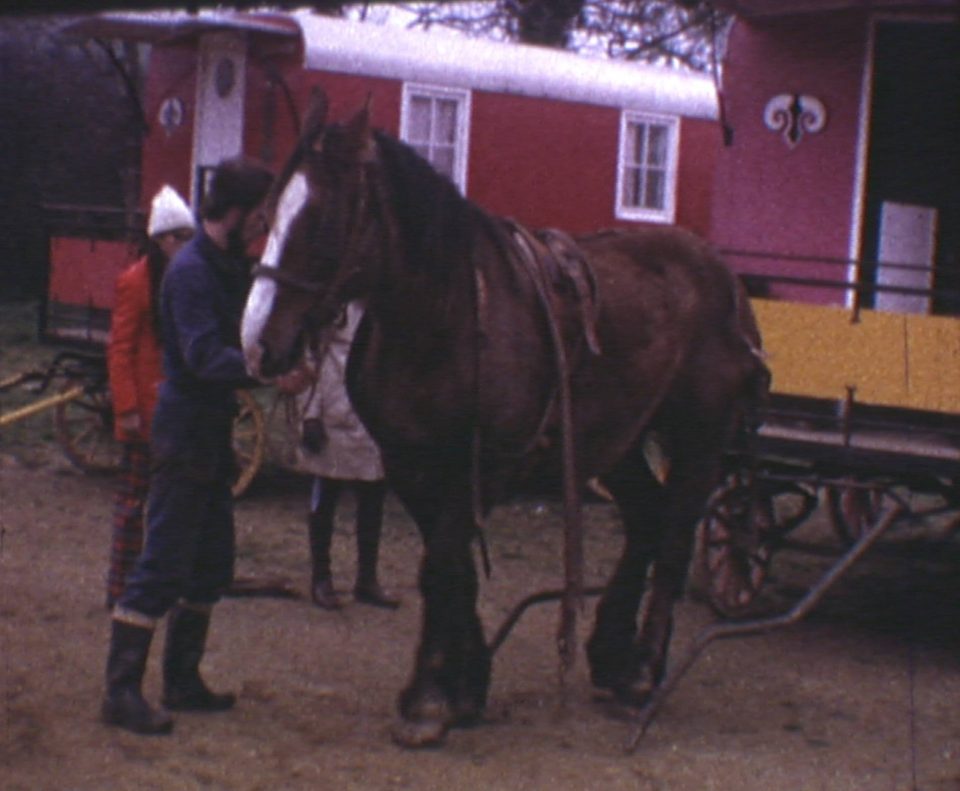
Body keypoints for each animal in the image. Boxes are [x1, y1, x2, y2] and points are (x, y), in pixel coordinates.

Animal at [244, 93, 768, 748]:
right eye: (268, 213)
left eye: (320, 222)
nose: (259, 344)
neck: (444, 317)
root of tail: (724, 277)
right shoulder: (412, 465)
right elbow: (454, 569)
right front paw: (467, 684)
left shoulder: (483, 466)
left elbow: (443, 565)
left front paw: (430, 698)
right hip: (615, 441)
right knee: (646, 518)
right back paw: (610, 653)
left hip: (699, 435)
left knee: (673, 537)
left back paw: (644, 670)